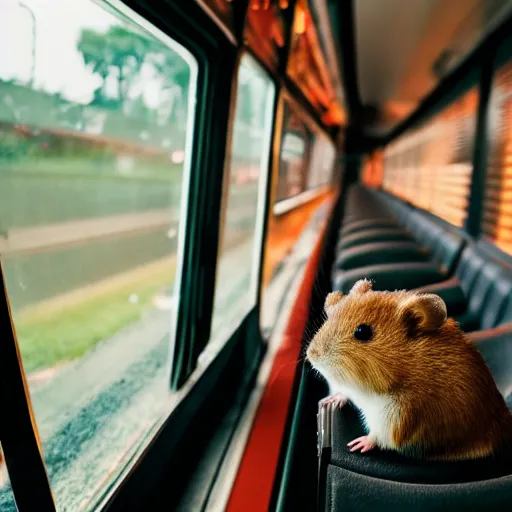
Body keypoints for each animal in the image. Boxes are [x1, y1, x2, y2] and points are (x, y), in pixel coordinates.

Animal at [306, 280, 510, 460]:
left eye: (362, 331)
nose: (311, 355)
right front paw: (329, 400)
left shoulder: (399, 415)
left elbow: (380, 436)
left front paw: (357, 444)